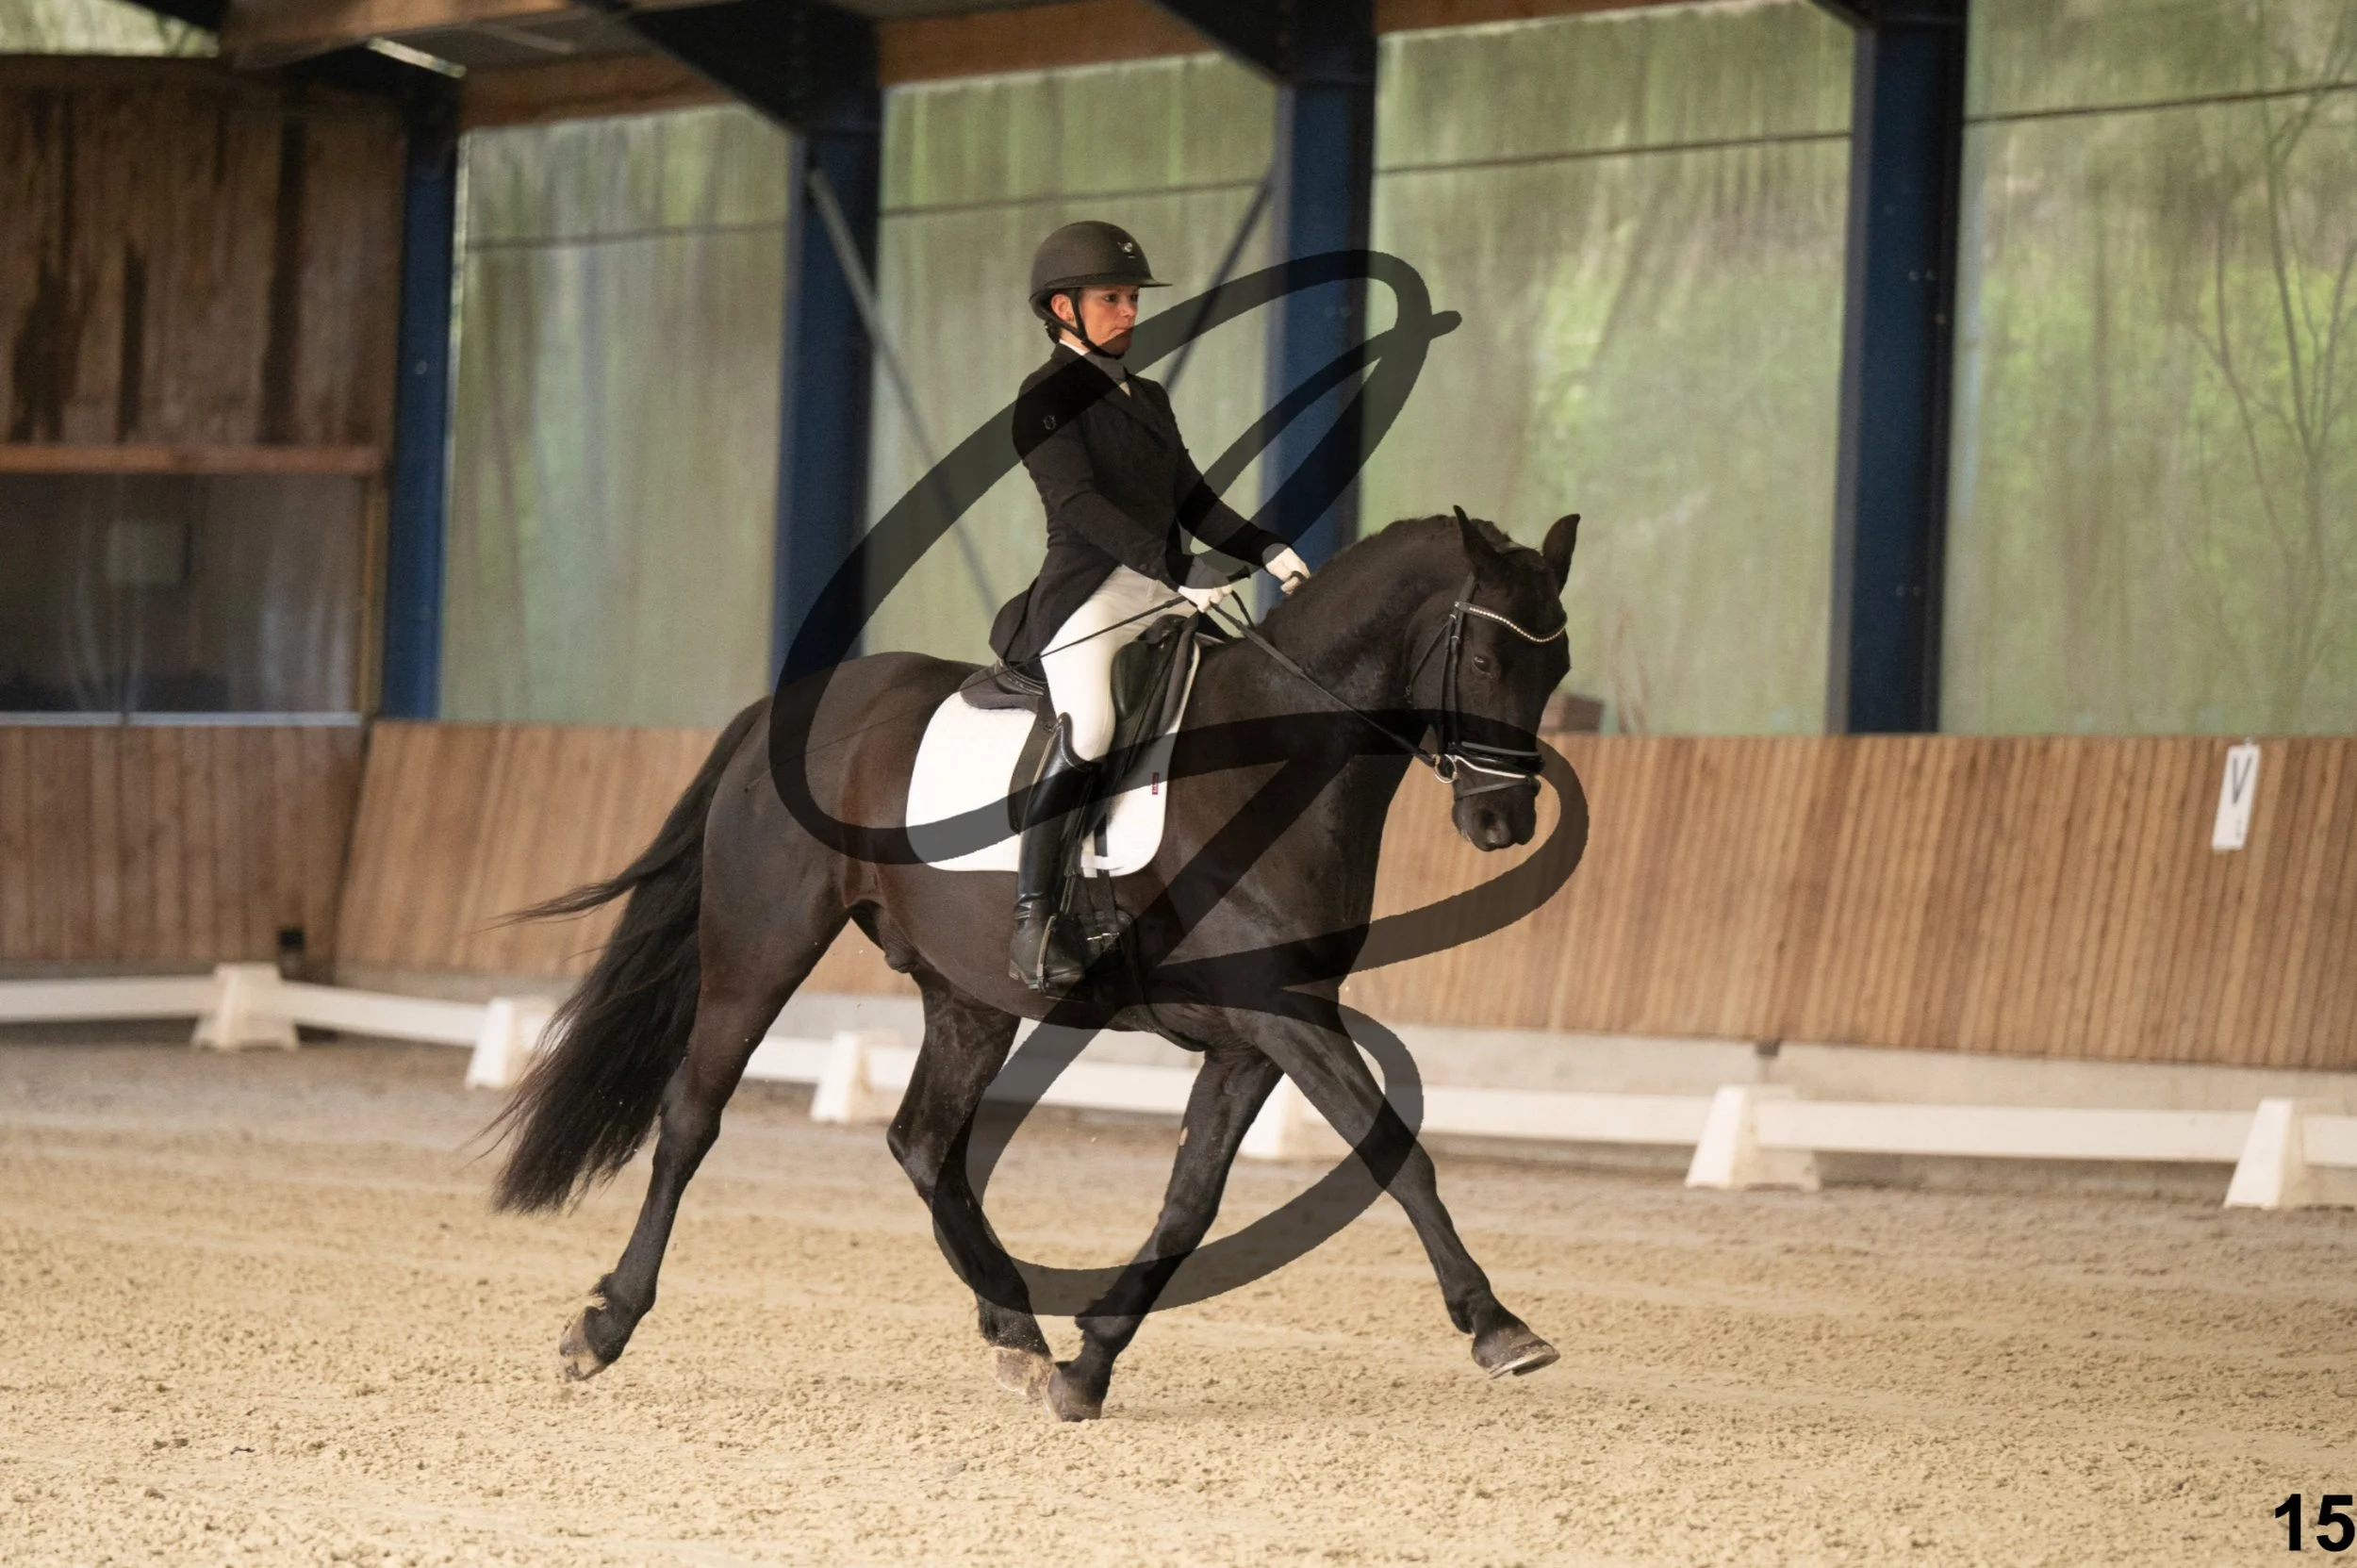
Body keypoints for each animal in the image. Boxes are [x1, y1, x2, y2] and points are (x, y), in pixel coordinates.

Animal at [490, 506, 1583, 1421]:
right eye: (1488, 659)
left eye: (1556, 664)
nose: (1504, 820)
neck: (1277, 757)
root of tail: (785, 708)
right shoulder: (1285, 1015)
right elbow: (1395, 1151)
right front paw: (1498, 1326)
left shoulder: (1255, 1035)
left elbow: (1189, 1202)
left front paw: (1087, 1365)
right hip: (760, 947)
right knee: (692, 1118)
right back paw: (602, 1325)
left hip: (969, 995)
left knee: (923, 1142)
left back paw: (1017, 1333)